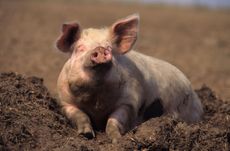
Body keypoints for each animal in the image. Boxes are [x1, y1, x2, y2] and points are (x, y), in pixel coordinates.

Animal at [55, 13, 203, 143]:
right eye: (80, 48)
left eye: (109, 47)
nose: (101, 49)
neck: (96, 99)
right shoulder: (65, 102)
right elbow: (80, 115)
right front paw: (86, 135)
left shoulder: (130, 101)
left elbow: (114, 120)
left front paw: (116, 139)